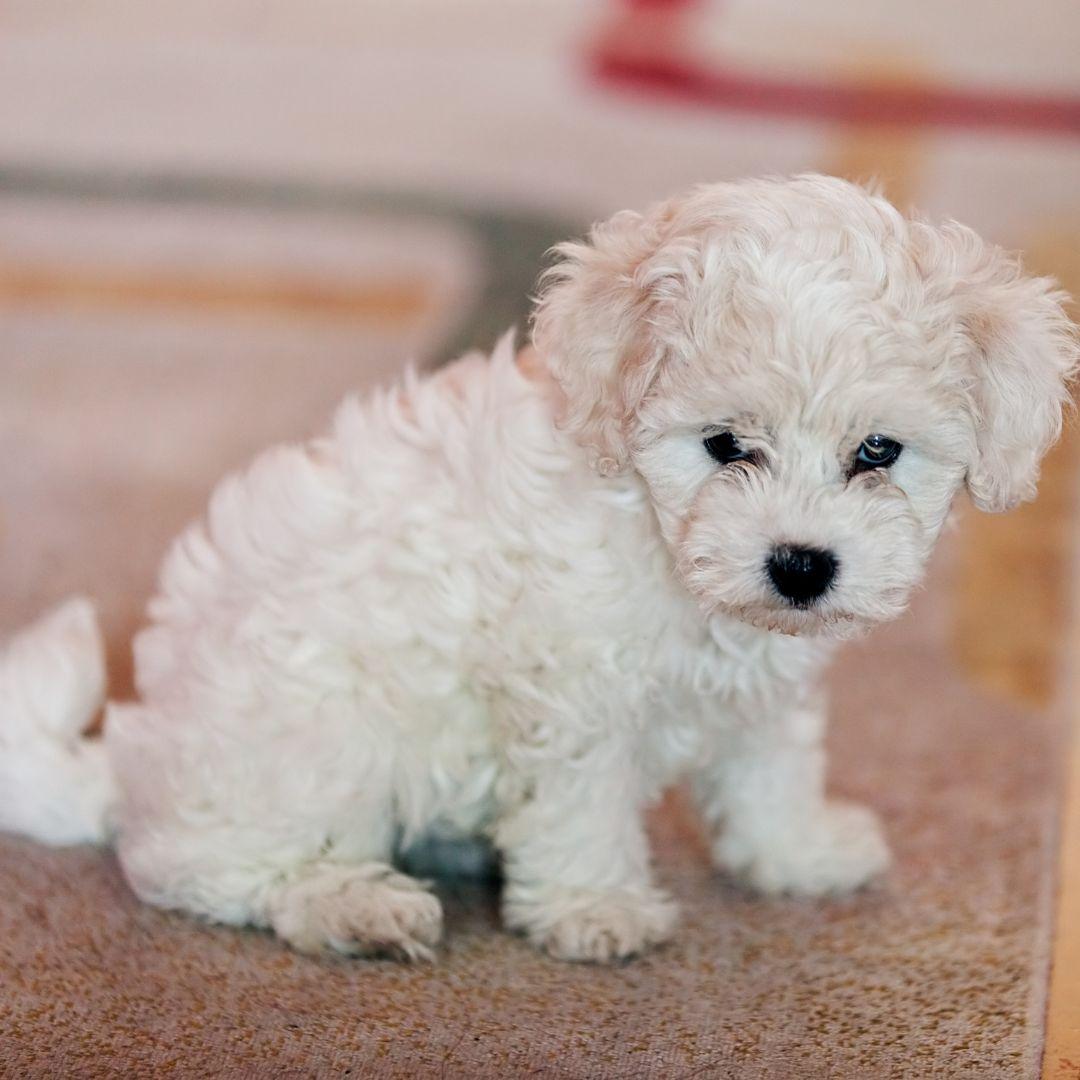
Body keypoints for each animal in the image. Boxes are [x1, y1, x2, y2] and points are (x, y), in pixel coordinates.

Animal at [2, 174, 1080, 963]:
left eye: (878, 452)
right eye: (725, 445)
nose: (802, 566)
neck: (658, 539)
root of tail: (131, 766)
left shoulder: (769, 685)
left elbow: (770, 764)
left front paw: (795, 850)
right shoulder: (574, 689)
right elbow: (583, 802)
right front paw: (594, 907)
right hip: (317, 743)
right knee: (204, 865)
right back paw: (349, 905)